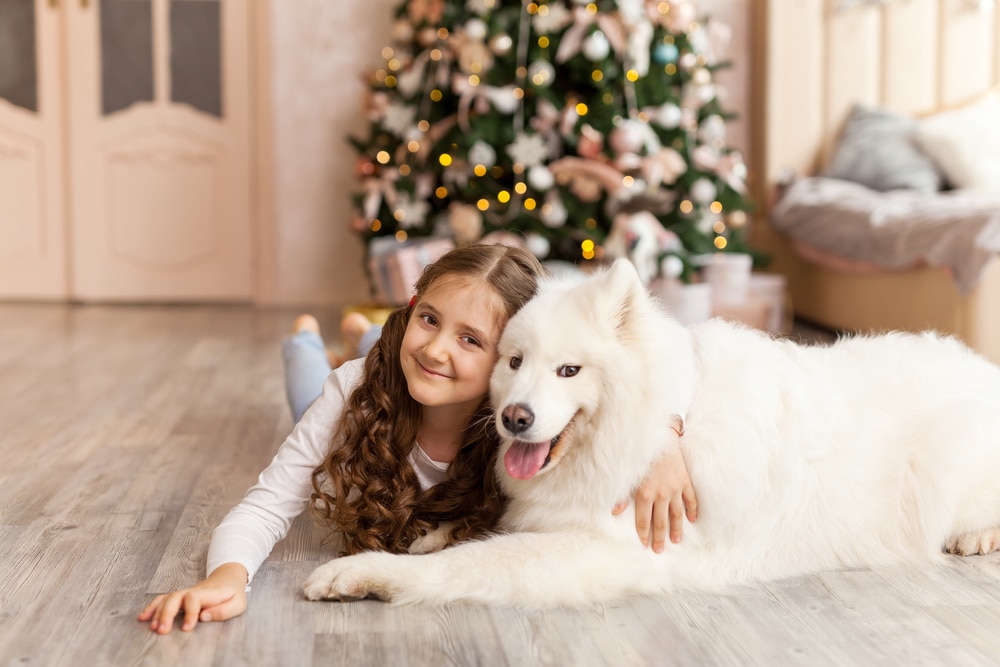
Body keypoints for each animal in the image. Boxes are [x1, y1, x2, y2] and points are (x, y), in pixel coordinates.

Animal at [300, 258, 1000, 608]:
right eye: (514, 362)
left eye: (570, 370)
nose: (514, 418)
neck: (628, 441)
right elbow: (474, 532)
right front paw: (429, 534)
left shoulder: (603, 551)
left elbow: (472, 561)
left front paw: (365, 573)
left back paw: (976, 536)